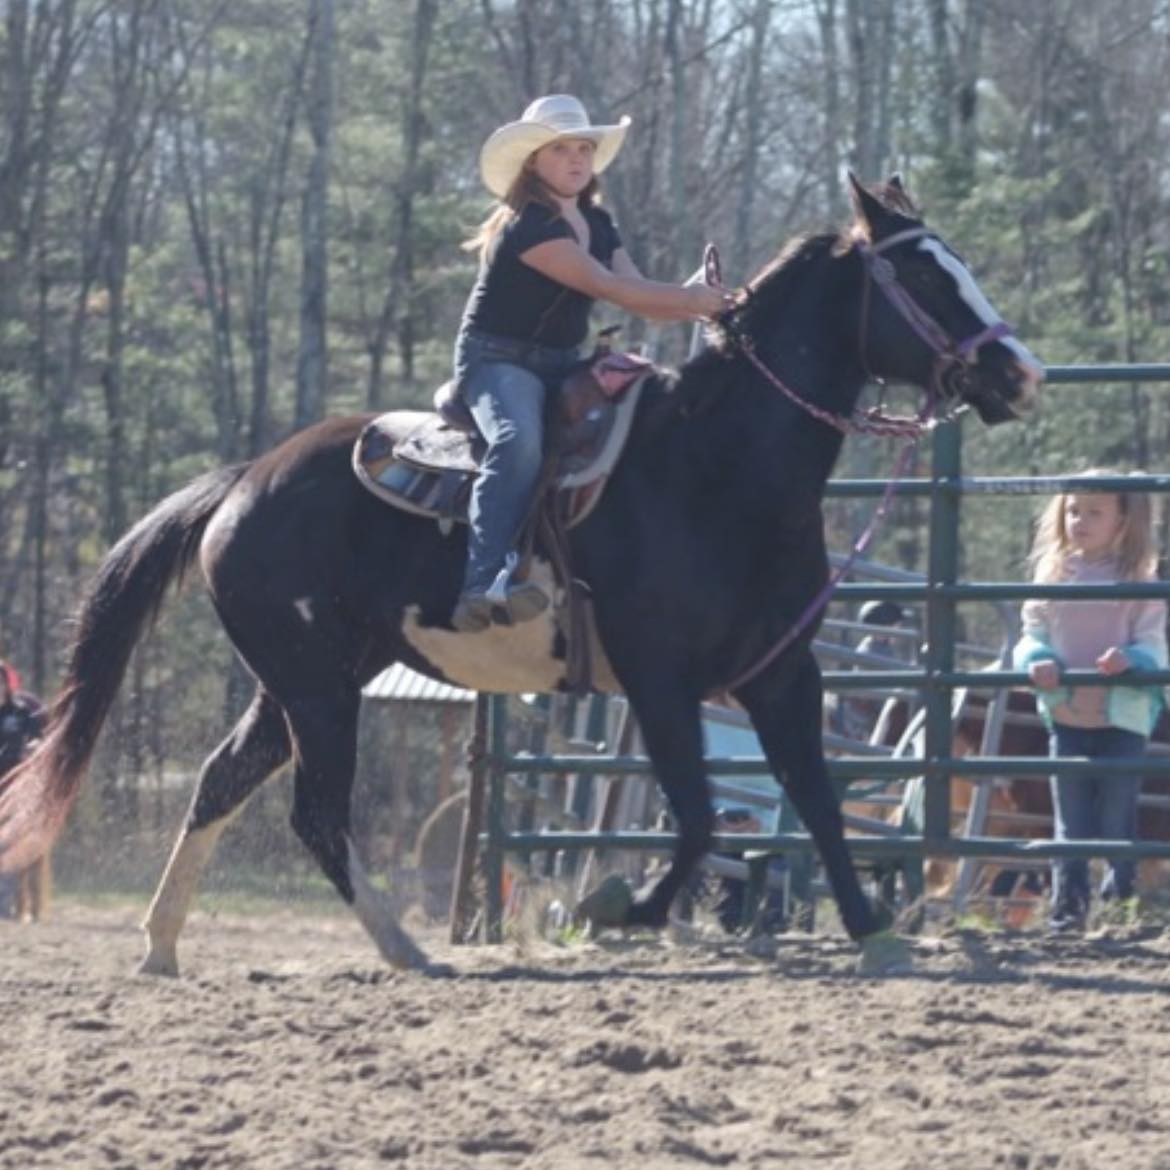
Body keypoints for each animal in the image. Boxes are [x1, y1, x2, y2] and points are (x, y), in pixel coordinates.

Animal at [0, 176, 1042, 976]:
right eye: (922, 273)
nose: (1019, 374)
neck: (717, 469)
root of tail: (241, 482)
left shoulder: (783, 672)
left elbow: (817, 802)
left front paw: (873, 932)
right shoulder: (658, 679)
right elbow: (701, 819)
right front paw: (619, 907)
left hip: (300, 679)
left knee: (222, 781)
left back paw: (162, 945)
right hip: (316, 686)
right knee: (315, 812)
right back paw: (405, 948)